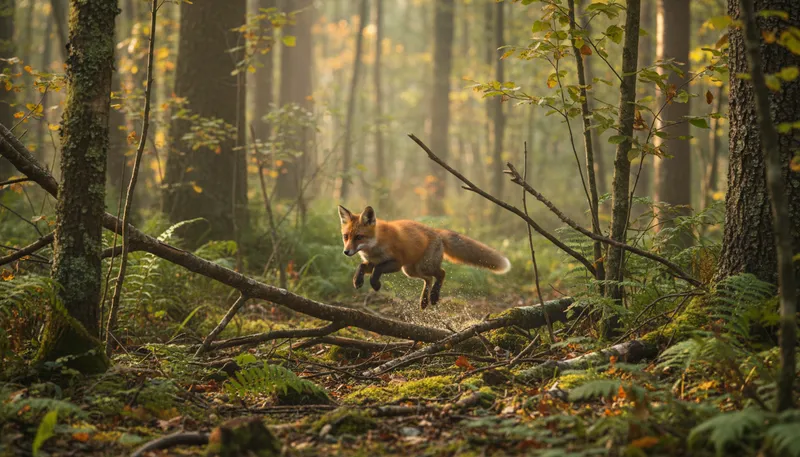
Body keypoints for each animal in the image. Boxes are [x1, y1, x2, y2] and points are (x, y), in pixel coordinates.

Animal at [338, 205, 511, 309]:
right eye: (346, 237)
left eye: (359, 237)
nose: (346, 252)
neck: (375, 244)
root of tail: (437, 231)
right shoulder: (372, 262)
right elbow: (361, 266)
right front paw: (357, 280)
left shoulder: (396, 263)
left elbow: (377, 271)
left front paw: (375, 284)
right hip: (411, 270)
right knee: (428, 279)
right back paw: (424, 301)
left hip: (421, 266)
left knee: (441, 273)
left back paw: (433, 296)